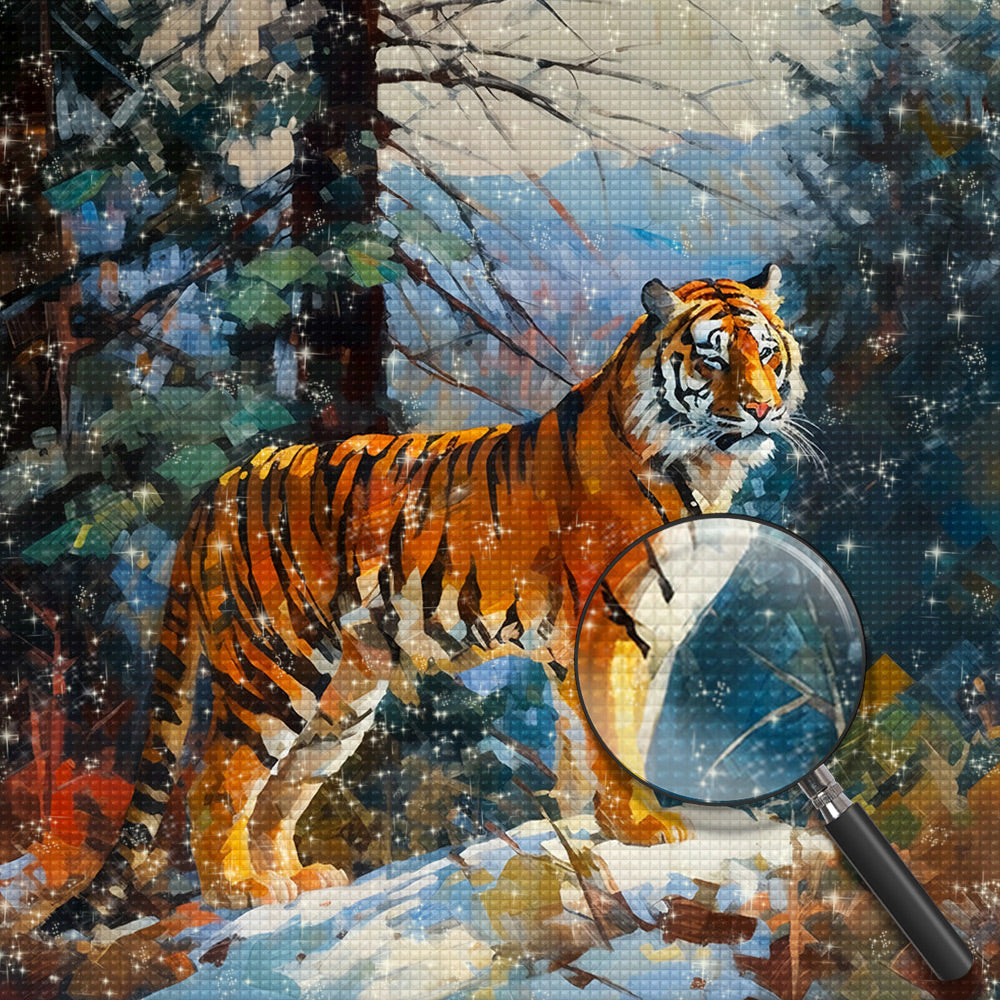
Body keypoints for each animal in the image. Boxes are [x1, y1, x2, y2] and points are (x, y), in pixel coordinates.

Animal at [47, 263, 806, 927]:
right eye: (711, 360)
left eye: (768, 354)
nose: (763, 408)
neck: (703, 467)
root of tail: (218, 487)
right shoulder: (606, 630)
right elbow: (609, 740)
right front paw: (641, 827)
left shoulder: (626, 641)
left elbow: (590, 742)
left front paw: (581, 825)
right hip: (271, 665)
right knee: (215, 784)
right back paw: (242, 892)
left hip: (342, 698)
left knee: (281, 792)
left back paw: (297, 879)